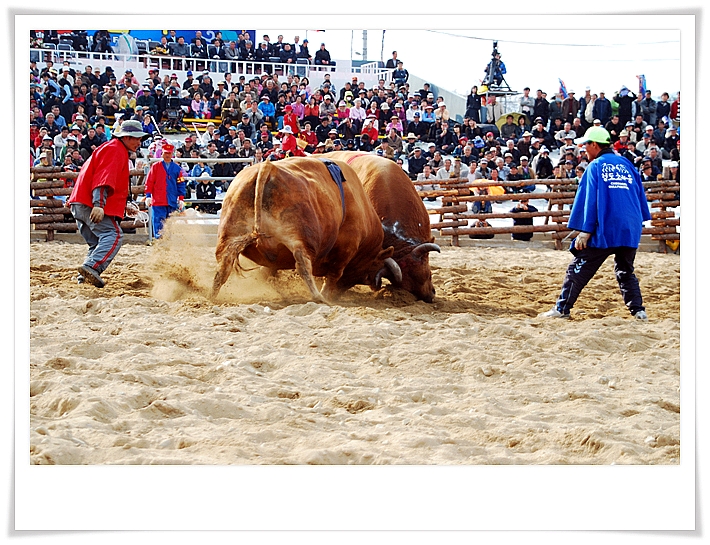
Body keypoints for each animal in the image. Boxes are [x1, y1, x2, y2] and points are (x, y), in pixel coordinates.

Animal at [211, 157, 404, 304]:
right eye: (368, 273)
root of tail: (268, 168)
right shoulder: (346, 249)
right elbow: (334, 274)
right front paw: (327, 294)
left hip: (231, 235)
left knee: (224, 264)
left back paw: (213, 294)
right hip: (299, 238)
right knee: (303, 264)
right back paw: (319, 297)